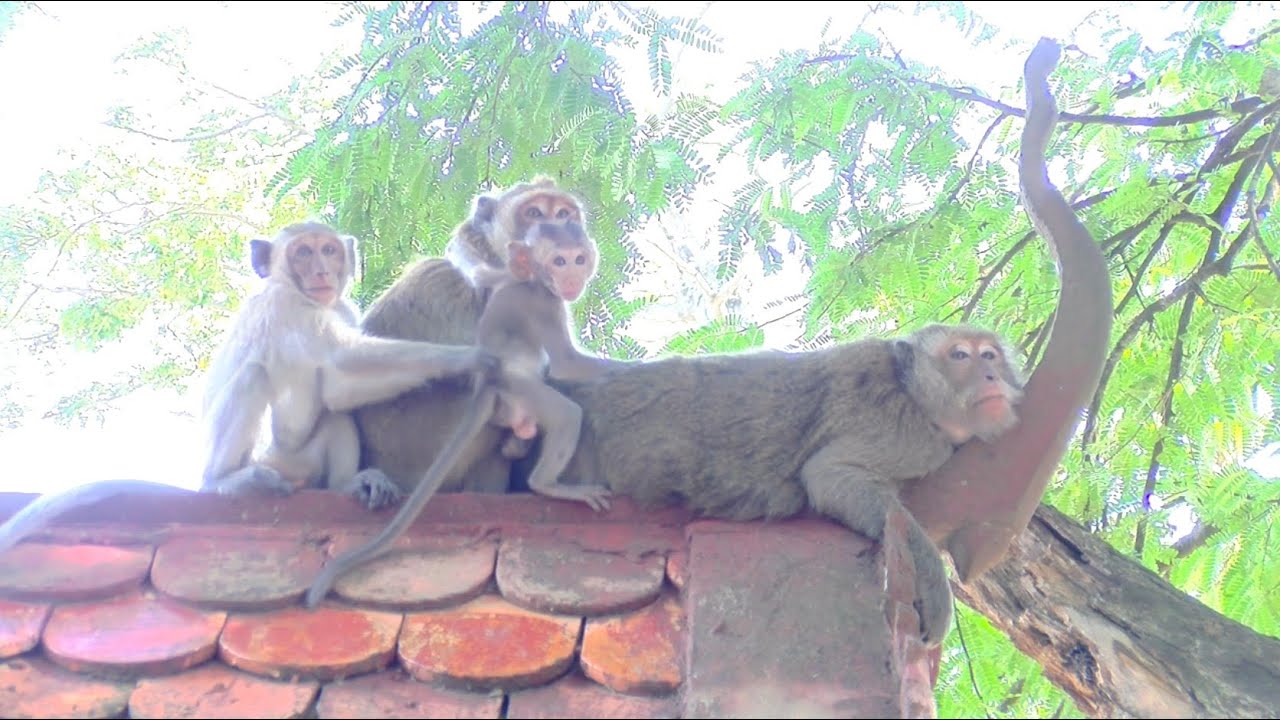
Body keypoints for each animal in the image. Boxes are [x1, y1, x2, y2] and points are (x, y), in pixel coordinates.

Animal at [0, 222, 495, 556]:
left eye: (330, 250)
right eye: (302, 253)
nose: (321, 271)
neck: (303, 297)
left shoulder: (340, 307)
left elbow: (337, 391)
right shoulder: (286, 305)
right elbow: (337, 375)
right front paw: (466, 359)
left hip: (300, 462)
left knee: (334, 417)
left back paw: (346, 485)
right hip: (267, 455)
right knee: (257, 377)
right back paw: (225, 481)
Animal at [305, 221, 618, 608]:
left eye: (578, 258)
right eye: (559, 260)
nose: (572, 275)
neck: (532, 280)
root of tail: (487, 386)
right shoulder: (543, 302)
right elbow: (566, 363)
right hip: (513, 391)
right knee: (566, 414)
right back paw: (545, 483)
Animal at [532, 322, 1025, 645]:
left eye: (990, 355)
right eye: (960, 355)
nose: (990, 375)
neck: (912, 391)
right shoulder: (912, 438)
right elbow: (829, 477)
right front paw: (934, 584)